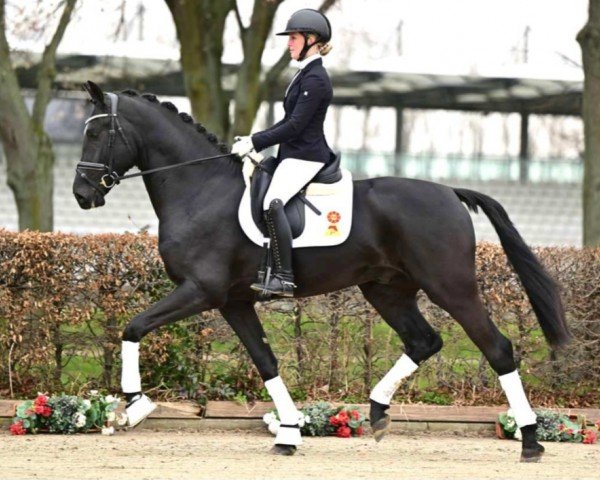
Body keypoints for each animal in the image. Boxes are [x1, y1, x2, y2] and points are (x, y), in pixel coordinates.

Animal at [72, 82, 568, 462]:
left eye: (97, 131)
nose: (81, 195)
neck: (200, 189)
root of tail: (450, 192)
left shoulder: (201, 291)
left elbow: (133, 327)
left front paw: (135, 406)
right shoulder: (235, 301)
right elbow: (266, 362)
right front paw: (289, 432)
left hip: (451, 286)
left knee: (497, 348)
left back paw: (529, 441)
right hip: (385, 290)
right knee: (424, 341)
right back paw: (377, 412)